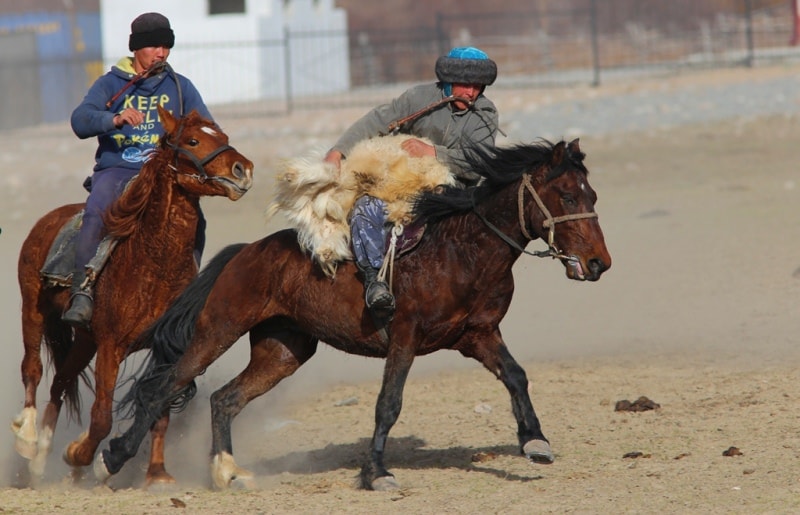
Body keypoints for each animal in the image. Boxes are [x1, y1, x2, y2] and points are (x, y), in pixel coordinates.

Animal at [13, 107, 256, 486]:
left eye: (222, 135)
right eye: (193, 140)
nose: (243, 169)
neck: (151, 263)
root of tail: (49, 219)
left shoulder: (163, 348)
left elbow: (160, 409)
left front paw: (157, 473)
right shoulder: (111, 347)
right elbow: (101, 417)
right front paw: (81, 455)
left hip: (85, 340)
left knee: (61, 382)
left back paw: (41, 459)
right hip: (34, 311)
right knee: (33, 369)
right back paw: (27, 439)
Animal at [95, 138, 608, 492]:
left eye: (593, 195)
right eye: (567, 196)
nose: (600, 262)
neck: (461, 249)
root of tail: (246, 252)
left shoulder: (477, 334)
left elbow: (516, 376)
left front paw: (535, 442)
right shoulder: (405, 339)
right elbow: (388, 404)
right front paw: (377, 473)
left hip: (283, 351)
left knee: (224, 400)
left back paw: (227, 471)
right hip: (217, 330)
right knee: (164, 387)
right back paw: (113, 458)